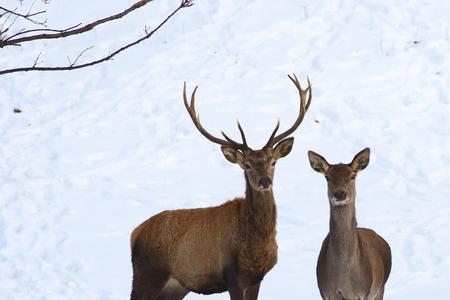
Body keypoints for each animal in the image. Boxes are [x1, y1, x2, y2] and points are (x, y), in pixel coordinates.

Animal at [130, 73, 312, 300]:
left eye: (273, 162)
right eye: (247, 165)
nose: (264, 181)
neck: (254, 247)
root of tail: (134, 235)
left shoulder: (256, 278)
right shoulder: (231, 276)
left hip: (175, 286)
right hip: (147, 274)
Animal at [310, 148, 390, 300]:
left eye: (353, 176)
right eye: (327, 177)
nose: (340, 194)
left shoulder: (362, 292)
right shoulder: (325, 292)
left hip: (380, 288)